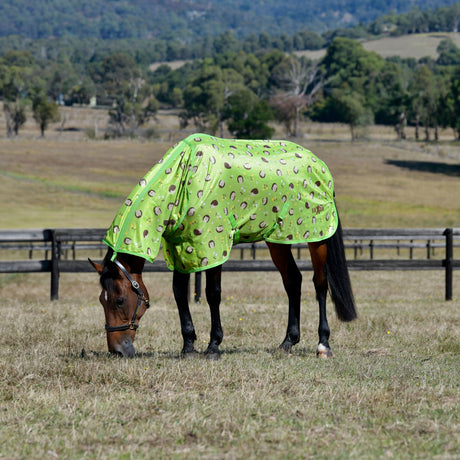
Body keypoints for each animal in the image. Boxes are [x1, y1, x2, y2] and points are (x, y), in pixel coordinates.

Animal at [90, 133, 356, 360]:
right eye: (102, 300)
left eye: (119, 300)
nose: (117, 350)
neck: (183, 177)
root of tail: (320, 166)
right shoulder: (181, 248)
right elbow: (179, 293)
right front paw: (188, 346)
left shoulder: (212, 246)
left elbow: (212, 294)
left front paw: (213, 346)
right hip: (278, 240)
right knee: (293, 281)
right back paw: (287, 342)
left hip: (316, 237)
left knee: (320, 284)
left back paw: (323, 345)